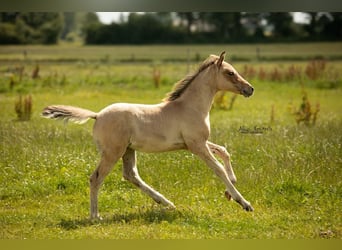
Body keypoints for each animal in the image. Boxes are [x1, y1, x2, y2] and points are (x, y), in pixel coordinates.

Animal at [42, 52, 254, 219]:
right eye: (230, 73)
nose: (250, 89)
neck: (189, 107)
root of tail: (97, 115)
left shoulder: (195, 143)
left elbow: (224, 151)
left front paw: (229, 190)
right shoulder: (197, 146)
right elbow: (218, 169)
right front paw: (243, 203)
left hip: (128, 150)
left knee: (130, 175)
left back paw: (166, 203)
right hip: (112, 152)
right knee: (96, 178)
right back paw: (95, 216)